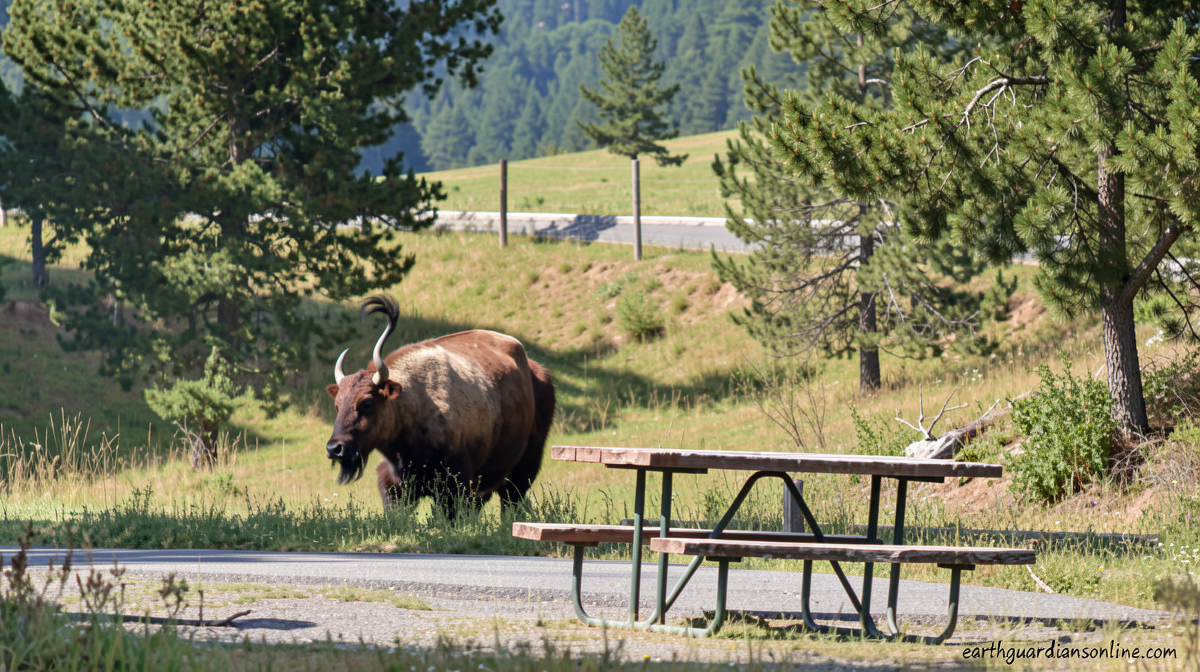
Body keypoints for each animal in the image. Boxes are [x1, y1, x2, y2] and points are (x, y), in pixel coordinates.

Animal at [325, 296, 555, 516]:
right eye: (337, 405)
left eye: (367, 402)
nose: (335, 448)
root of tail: (540, 372)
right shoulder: (396, 485)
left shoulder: (456, 484)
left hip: (523, 470)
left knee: (510, 502)